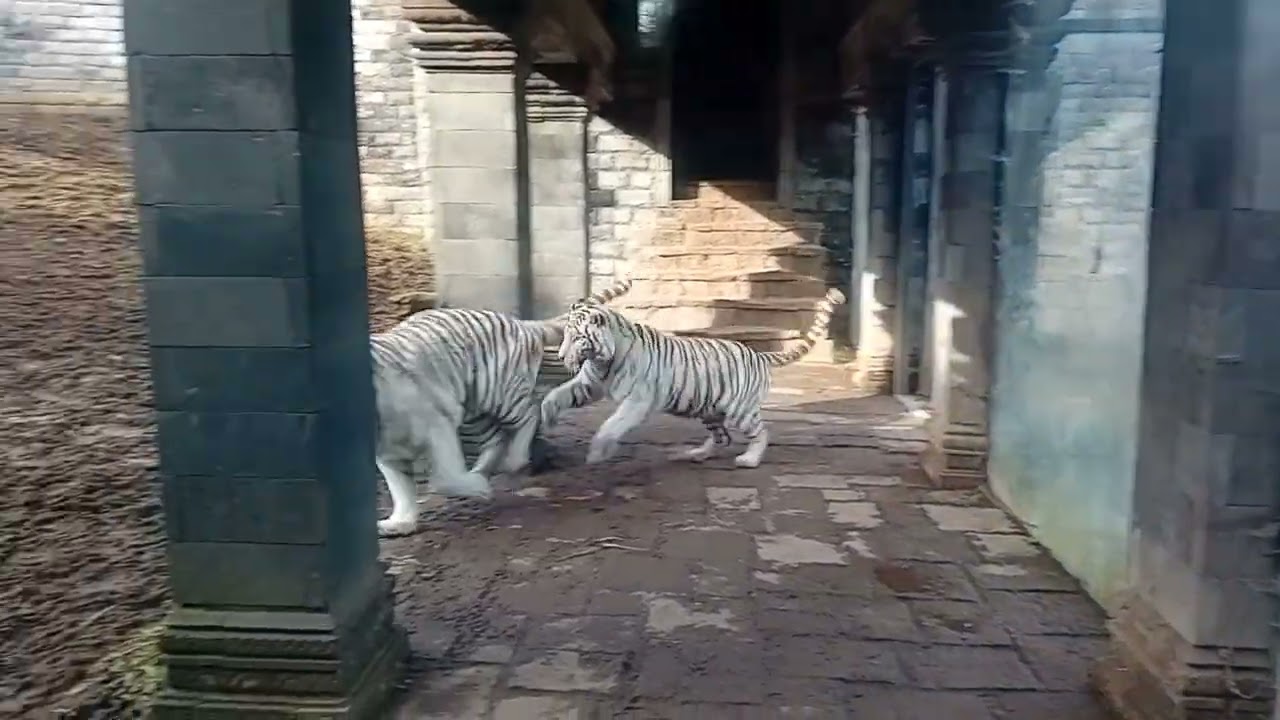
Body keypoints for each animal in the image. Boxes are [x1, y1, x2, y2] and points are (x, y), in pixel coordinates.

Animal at [372, 278, 633, 537]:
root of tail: (519, 324)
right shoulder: (388, 454)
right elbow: (400, 488)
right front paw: (400, 523)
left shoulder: (436, 423)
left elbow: (443, 477)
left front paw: (476, 488)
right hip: (473, 410)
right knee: (496, 439)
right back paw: (481, 471)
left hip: (499, 393)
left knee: (531, 414)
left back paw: (511, 461)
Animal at [539, 288, 846, 469]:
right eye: (564, 335)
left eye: (577, 338)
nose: (561, 356)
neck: (603, 360)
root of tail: (758, 355)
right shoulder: (588, 385)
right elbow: (555, 396)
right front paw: (547, 417)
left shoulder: (637, 400)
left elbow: (611, 424)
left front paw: (598, 452)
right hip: (710, 409)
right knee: (722, 438)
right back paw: (696, 454)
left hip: (740, 411)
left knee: (761, 432)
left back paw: (749, 459)